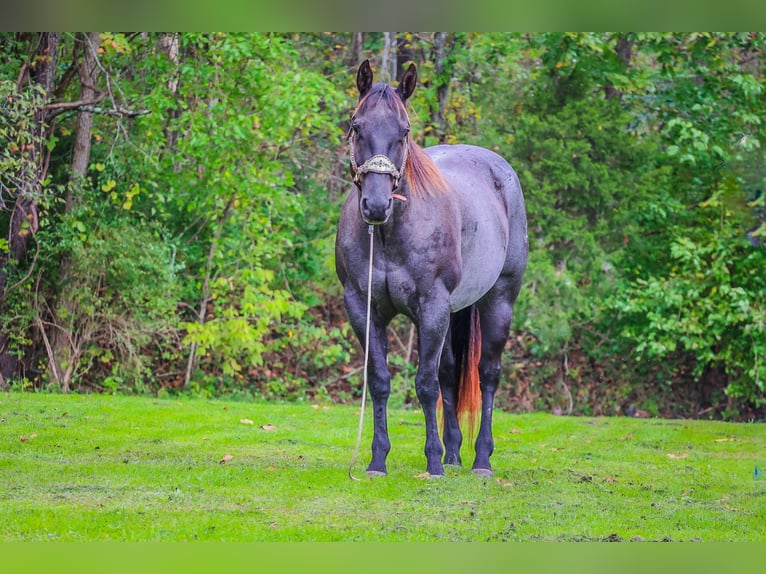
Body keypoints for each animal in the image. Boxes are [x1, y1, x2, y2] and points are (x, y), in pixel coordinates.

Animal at [335, 60, 528, 477]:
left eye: (404, 131)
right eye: (356, 126)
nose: (377, 205)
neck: (391, 233)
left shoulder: (432, 306)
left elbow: (424, 384)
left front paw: (433, 462)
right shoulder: (363, 308)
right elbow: (381, 381)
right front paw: (377, 460)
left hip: (498, 300)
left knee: (487, 374)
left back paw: (481, 459)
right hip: (453, 312)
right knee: (449, 374)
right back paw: (455, 453)